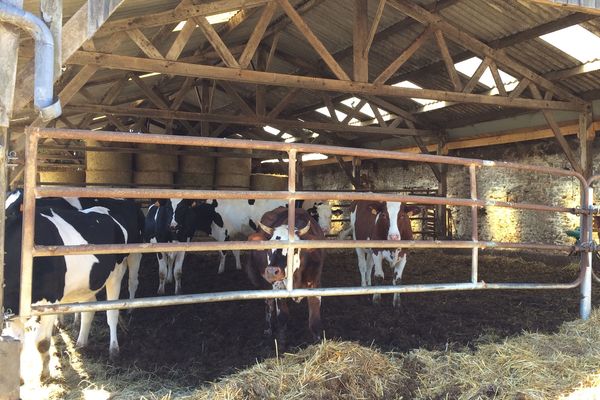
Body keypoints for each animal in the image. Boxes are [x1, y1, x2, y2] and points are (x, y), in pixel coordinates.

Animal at [2, 205, 129, 382]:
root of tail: (104, 210)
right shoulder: (13, 308)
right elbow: (18, 344)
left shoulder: (50, 302)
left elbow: (42, 343)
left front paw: (45, 374)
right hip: (86, 284)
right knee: (88, 310)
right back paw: (81, 343)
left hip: (117, 274)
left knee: (112, 314)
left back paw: (114, 350)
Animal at [246, 208, 326, 348]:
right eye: (268, 248)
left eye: (294, 250)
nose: (272, 271)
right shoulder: (277, 286)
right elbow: (282, 316)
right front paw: (282, 343)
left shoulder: (315, 283)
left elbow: (315, 320)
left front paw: (318, 343)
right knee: (268, 304)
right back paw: (268, 329)